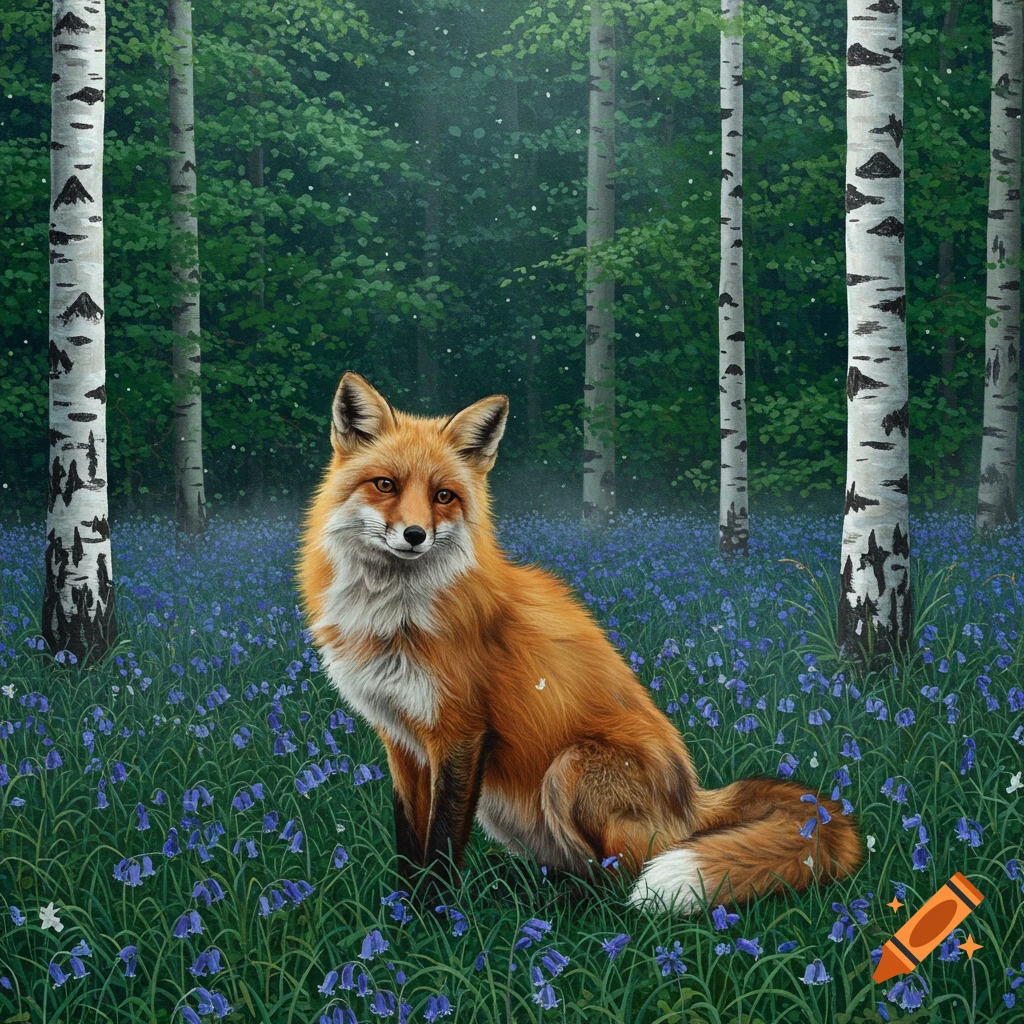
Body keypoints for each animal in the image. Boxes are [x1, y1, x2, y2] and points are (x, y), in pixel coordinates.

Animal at [297, 371, 862, 913]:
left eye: (443, 496)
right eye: (385, 485)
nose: (415, 535)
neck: (395, 619)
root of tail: (693, 802)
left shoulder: (460, 735)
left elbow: (441, 845)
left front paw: (432, 918)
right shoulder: (400, 740)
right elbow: (408, 841)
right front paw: (401, 909)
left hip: (567, 770)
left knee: (623, 880)